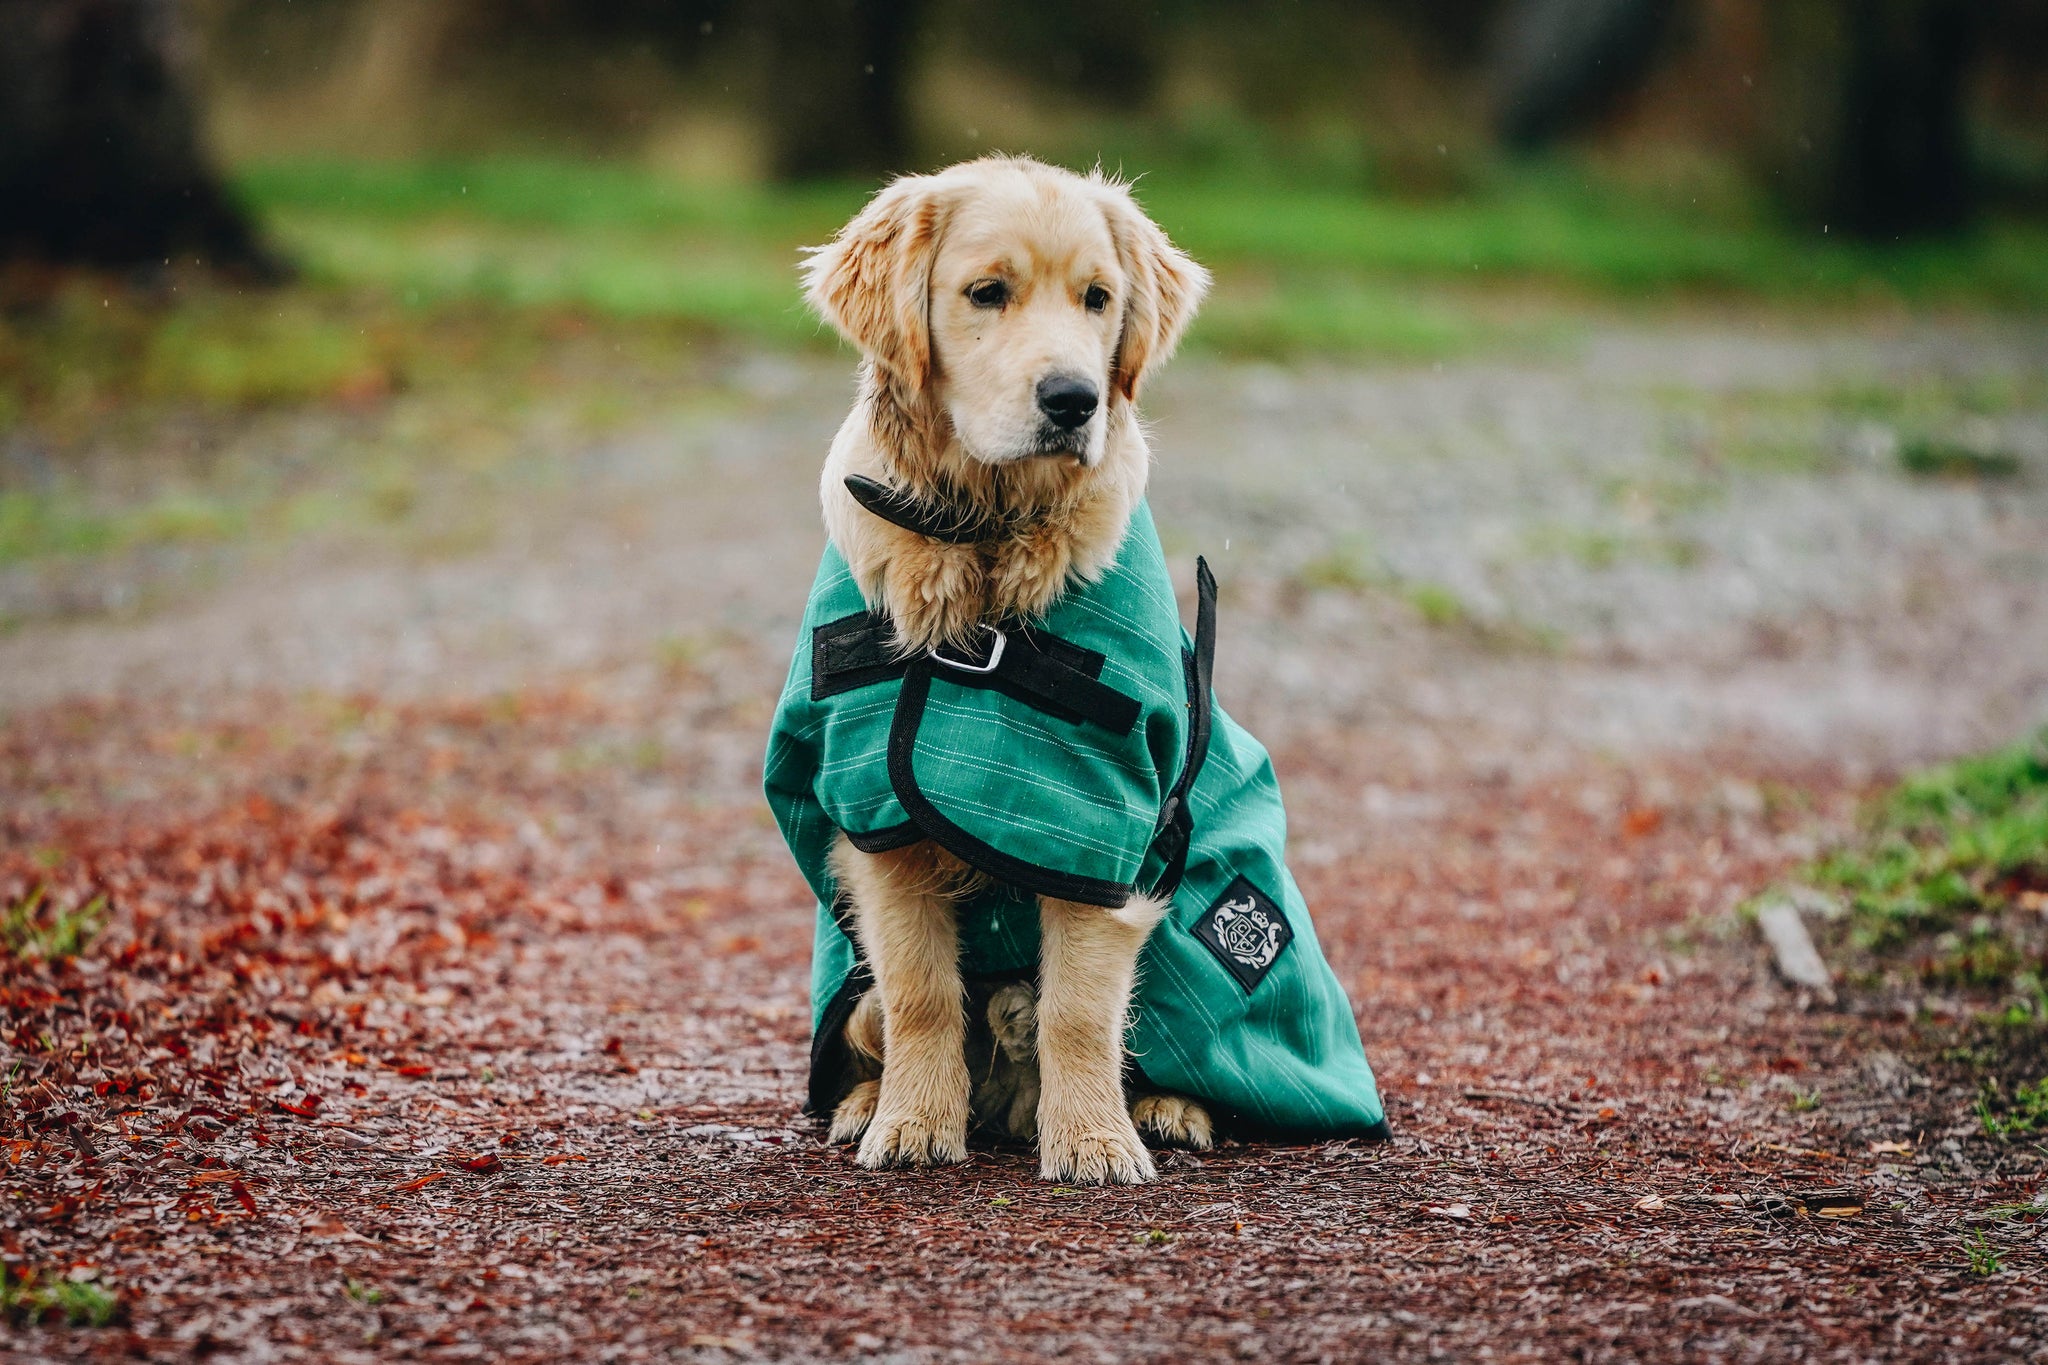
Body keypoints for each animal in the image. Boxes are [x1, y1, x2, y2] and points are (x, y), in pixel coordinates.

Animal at [798, 157, 1212, 1186]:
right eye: (988, 292)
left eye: (1098, 299)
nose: (1073, 400)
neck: (984, 536)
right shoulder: (879, 822)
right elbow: (921, 994)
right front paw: (913, 1123)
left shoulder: (1098, 826)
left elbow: (1078, 1008)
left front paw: (1095, 1141)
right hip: (848, 984)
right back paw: (862, 1104)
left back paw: (1170, 1109)